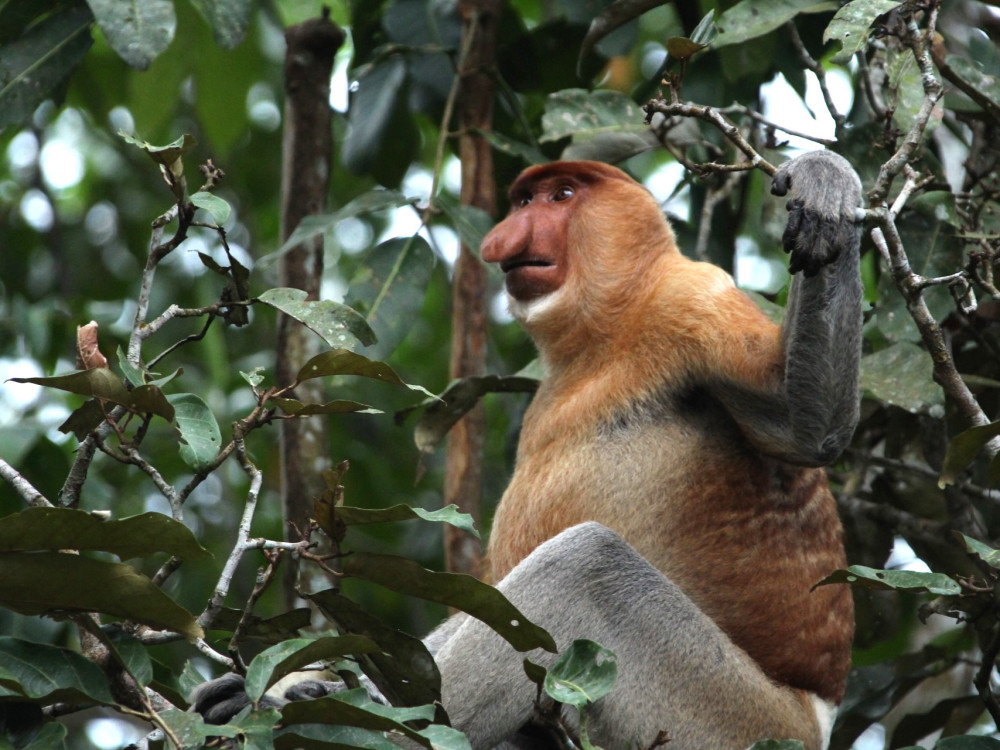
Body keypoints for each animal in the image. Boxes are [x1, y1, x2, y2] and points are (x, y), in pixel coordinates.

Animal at [193, 153, 860, 750]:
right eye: (523, 202)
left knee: (590, 565)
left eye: (562, 196)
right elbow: (482, 596)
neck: (605, 331)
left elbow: (805, 425)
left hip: (725, 715)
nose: (498, 241)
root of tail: (818, 717)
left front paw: (825, 188)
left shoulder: (691, 297)